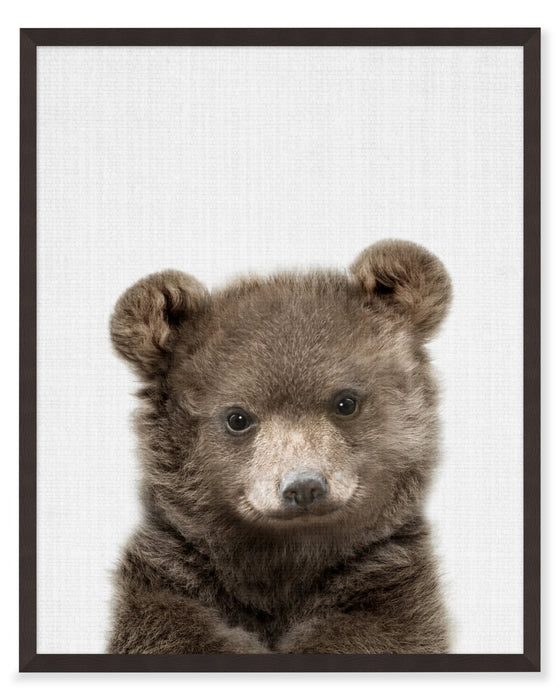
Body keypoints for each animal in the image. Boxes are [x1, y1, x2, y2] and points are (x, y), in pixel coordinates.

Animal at [108, 239, 452, 654]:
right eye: (237, 417)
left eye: (345, 402)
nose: (303, 487)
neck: (284, 561)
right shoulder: (173, 571)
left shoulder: (385, 579)